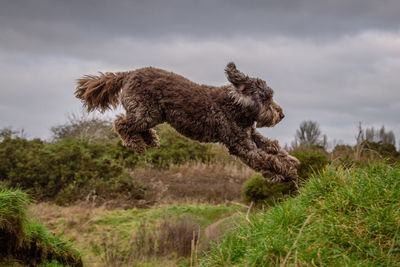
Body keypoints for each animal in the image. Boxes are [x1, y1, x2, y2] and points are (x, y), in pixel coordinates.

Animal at [76, 62, 298, 183]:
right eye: (266, 99)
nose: (282, 115)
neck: (236, 106)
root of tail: (129, 74)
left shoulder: (250, 134)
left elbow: (272, 147)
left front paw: (290, 161)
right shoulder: (241, 145)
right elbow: (264, 159)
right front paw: (287, 172)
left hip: (152, 114)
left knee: (136, 126)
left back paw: (150, 140)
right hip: (146, 112)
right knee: (122, 123)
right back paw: (137, 144)